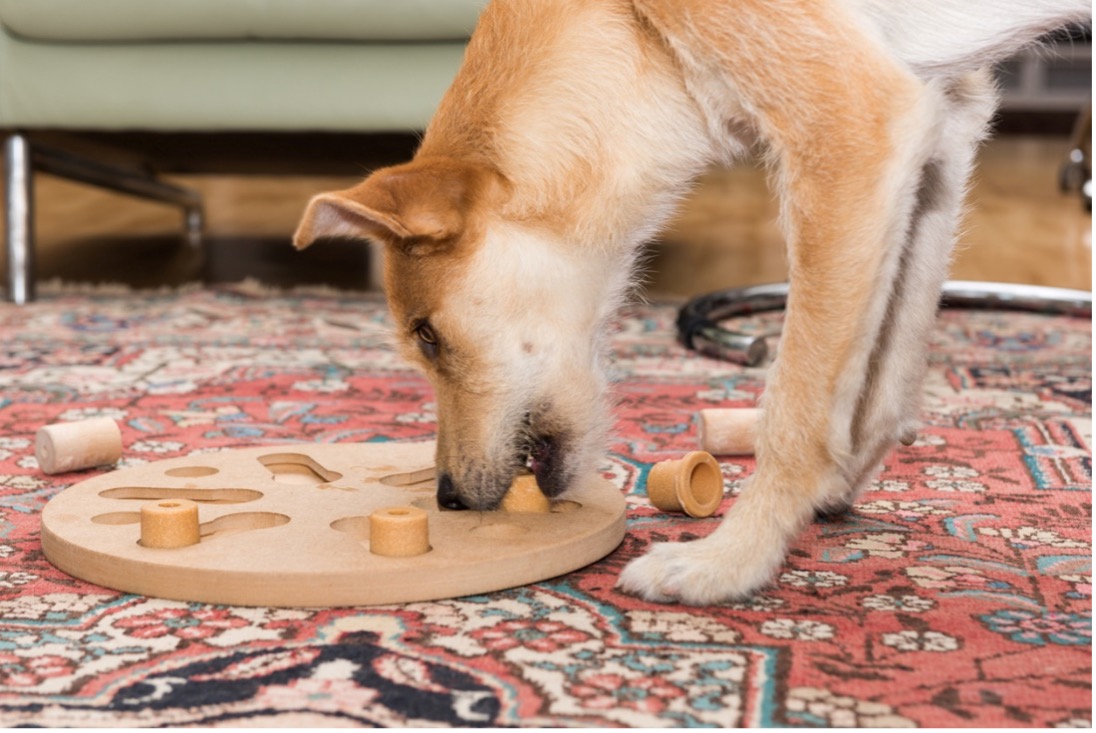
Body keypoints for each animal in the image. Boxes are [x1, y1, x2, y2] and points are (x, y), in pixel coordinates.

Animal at [295, 0, 1091, 604]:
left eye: (427, 335)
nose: (448, 499)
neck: (627, 26)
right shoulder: (941, 131)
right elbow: (884, 374)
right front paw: (838, 483)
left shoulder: (852, 129)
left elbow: (796, 414)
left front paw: (733, 561)